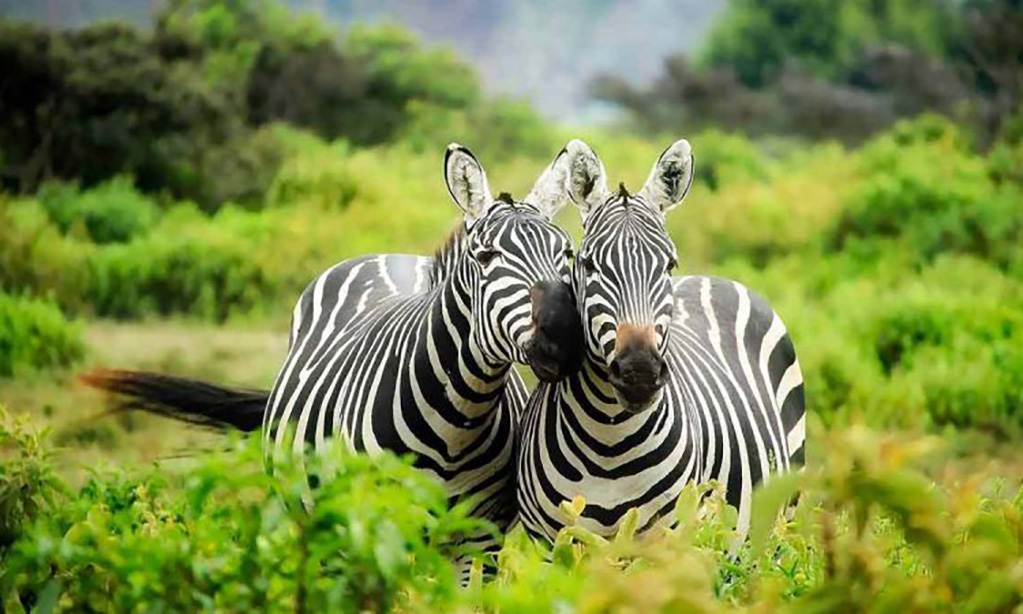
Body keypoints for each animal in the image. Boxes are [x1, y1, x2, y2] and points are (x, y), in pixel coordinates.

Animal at [81, 146, 585, 560]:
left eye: (567, 254)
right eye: (485, 257)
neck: (457, 421)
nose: (563, 338)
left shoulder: (479, 539)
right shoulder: (375, 527)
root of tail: (388, 256)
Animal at [515, 139, 802, 540]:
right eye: (588, 264)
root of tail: (715, 279)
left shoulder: (667, 539)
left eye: (669, 264)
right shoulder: (550, 541)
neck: (609, 441)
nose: (639, 372)